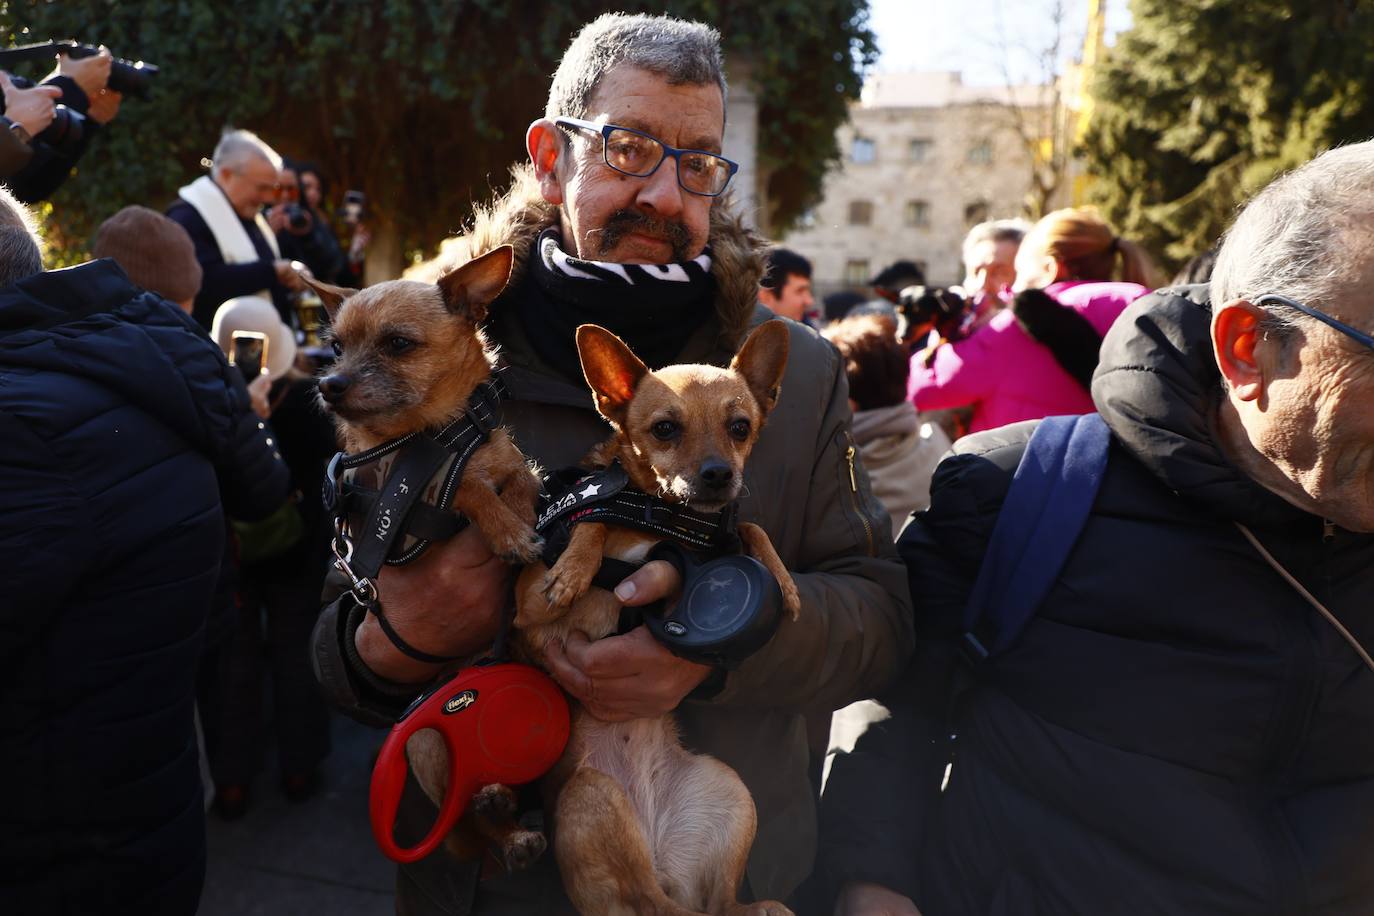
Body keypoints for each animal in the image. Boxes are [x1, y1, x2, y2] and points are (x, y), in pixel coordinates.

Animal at [311, 245, 546, 873]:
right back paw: (500, 825)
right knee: (464, 814)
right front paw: (508, 531)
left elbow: (517, 480)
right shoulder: (410, 509)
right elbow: (467, 490)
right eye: (335, 347)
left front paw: (521, 523)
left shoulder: (510, 463)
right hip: (428, 747)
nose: (329, 384)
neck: (436, 436)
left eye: (397, 344)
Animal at [513, 321, 796, 916]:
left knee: (721, 906)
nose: (718, 474)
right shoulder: (530, 608)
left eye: (740, 428)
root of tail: (663, 861)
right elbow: (593, 521)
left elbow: (749, 527)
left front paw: (783, 580)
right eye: (664, 430)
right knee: (649, 900)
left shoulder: (715, 535)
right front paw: (573, 569)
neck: (662, 519)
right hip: (589, 793)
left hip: (729, 790)